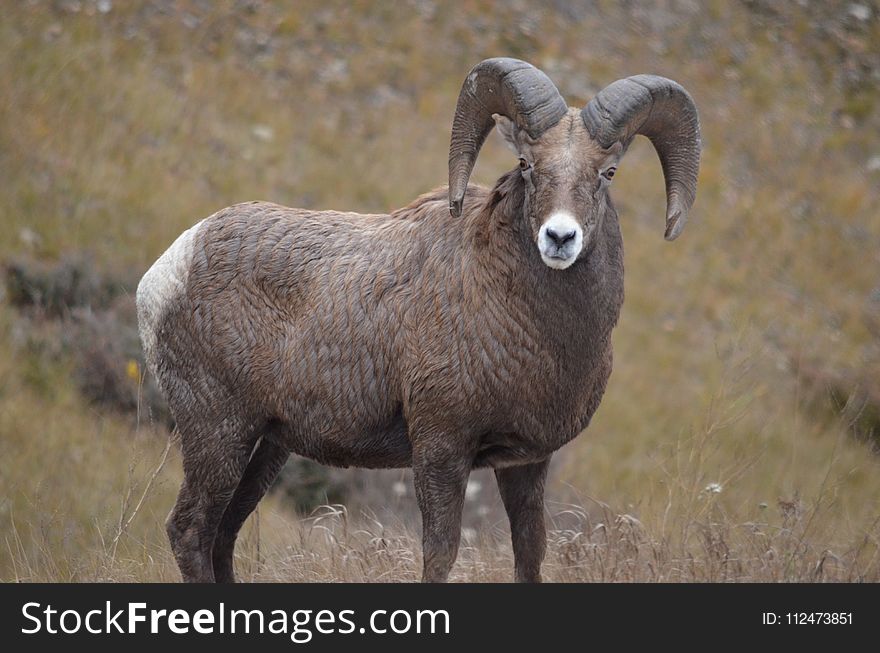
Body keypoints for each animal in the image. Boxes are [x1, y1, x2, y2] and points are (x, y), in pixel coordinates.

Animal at [138, 58, 700, 584]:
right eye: (526, 164)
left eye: (607, 173)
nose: (559, 238)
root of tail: (169, 268)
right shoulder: (440, 449)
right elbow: (440, 555)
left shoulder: (526, 463)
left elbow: (530, 555)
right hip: (219, 434)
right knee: (190, 530)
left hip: (266, 446)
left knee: (223, 534)